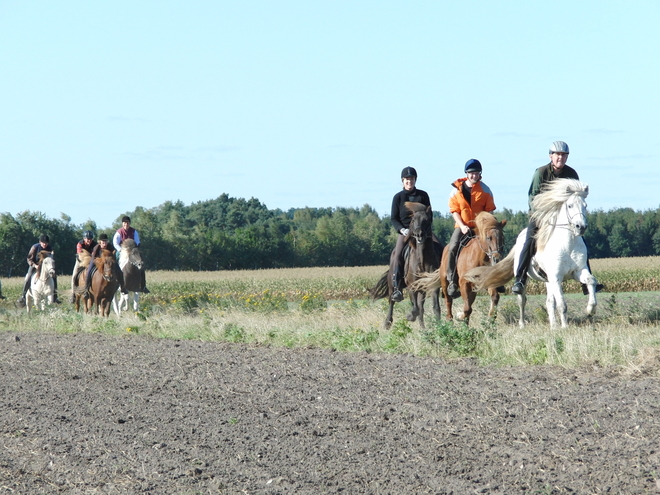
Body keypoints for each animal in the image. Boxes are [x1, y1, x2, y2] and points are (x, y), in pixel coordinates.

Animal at [368, 202, 440, 330]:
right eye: (413, 220)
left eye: (427, 220)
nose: (419, 235)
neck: (422, 261)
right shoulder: (412, 287)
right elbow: (415, 309)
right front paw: (409, 316)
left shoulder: (433, 286)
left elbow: (435, 308)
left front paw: (441, 326)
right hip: (392, 285)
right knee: (392, 301)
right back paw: (387, 323)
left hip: (422, 289)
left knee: (421, 307)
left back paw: (423, 328)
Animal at [464, 179, 600, 330]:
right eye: (570, 205)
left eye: (585, 205)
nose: (581, 227)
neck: (568, 245)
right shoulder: (556, 277)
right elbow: (562, 305)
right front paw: (565, 327)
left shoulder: (577, 271)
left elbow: (591, 281)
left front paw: (590, 309)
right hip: (525, 279)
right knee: (522, 300)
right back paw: (522, 324)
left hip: (548, 280)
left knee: (549, 302)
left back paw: (553, 326)